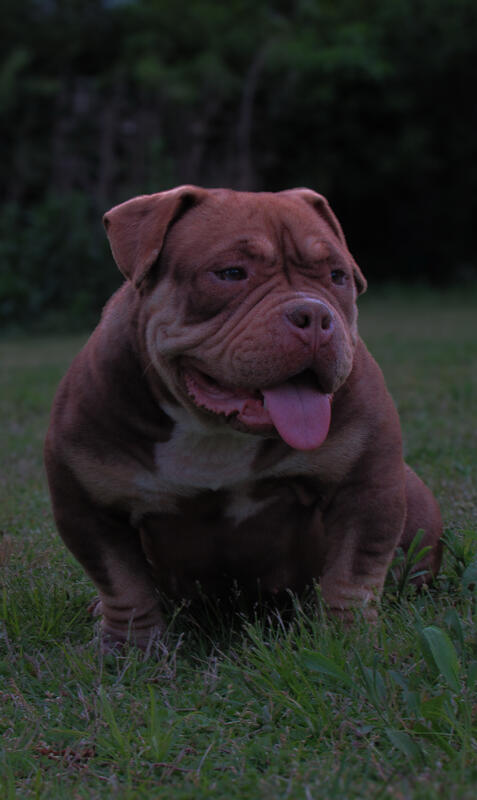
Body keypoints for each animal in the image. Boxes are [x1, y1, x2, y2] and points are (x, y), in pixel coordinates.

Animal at [44, 186, 442, 649]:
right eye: (231, 273)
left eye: (338, 276)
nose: (315, 316)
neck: (213, 429)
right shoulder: (87, 503)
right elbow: (121, 583)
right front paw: (131, 648)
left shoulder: (367, 484)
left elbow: (354, 571)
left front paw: (348, 640)